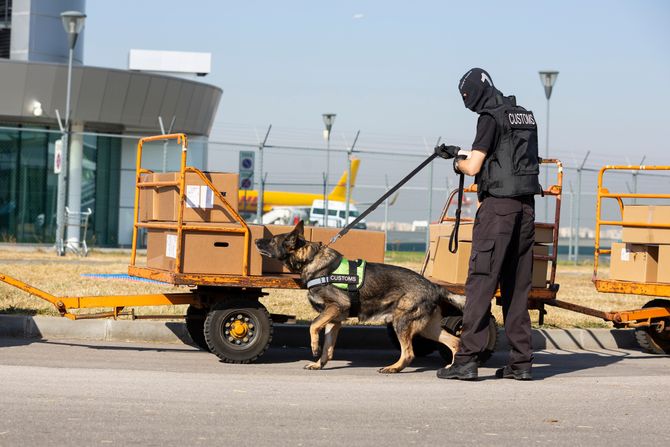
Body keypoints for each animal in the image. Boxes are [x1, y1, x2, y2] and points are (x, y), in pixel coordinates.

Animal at [253, 221, 462, 374]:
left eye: (272, 240)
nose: (255, 240)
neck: (312, 260)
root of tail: (434, 286)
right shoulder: (334, 320)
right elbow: (328, 347)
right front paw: (319, 364)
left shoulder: (335, 307)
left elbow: (313, 325)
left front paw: (313, 347)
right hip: (427, 328)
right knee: (455, 342)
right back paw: (451, 366)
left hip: (401, 321)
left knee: (409, 353)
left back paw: (393, 368)